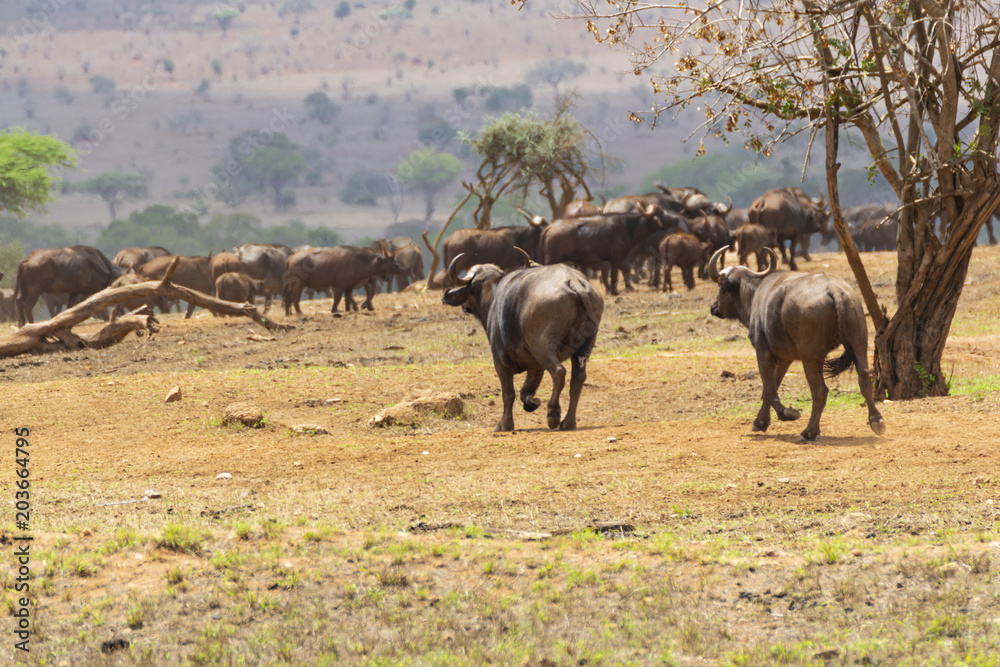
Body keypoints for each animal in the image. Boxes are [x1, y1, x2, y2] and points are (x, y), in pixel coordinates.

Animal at [443, 253, 603, 432]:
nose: (464, 307)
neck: (493, 294)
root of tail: (572, 281)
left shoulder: (500, 362)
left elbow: (509, 394)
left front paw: (505, 424)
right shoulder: (536, 367)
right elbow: (526, 391)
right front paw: (532, 403)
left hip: (543, 347)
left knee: (559, 372)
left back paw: (553, 414)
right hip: (585, 346)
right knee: (578, 379)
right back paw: (568, 422)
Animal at [708, 247, 885, 440]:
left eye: (720, 287)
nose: (713, 307)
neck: (755, 293)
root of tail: (834, 290)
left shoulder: (763, 353)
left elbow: (769, 389)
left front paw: (787, 414)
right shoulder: (785, 359)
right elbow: (772, 386)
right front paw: (761, 422)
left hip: (810, 358)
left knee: (820, 391)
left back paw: (809, 431)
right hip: (858, 343)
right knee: (864, 379)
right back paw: (876, 420)